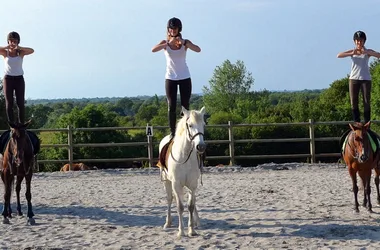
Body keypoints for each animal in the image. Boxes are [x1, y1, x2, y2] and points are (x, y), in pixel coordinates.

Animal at [158, 106, 206, 238]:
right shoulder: (176, 183)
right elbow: (180, 207)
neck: (185, 155)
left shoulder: (193, 184)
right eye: (190, 125)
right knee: (170, 199)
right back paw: (168, 223)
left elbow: (191, 205)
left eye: (203, 125)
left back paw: (197, 222)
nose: (201, 147)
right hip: (167, 182)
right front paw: (181, 231)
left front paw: (192, 230)